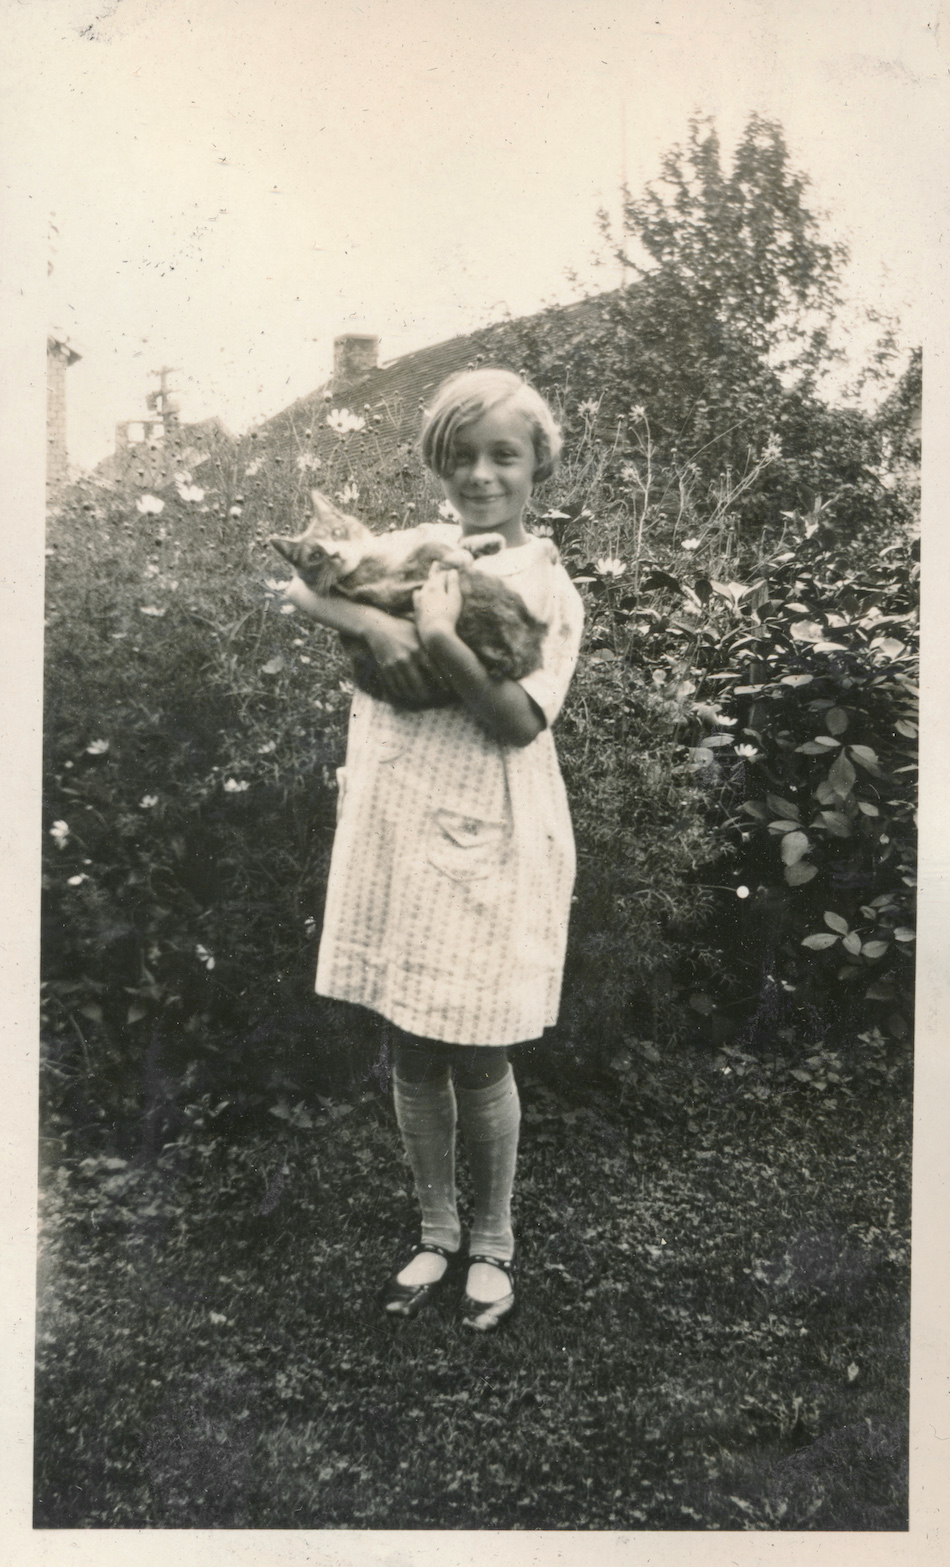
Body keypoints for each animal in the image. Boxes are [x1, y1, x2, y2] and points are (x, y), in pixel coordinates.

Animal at [268, 492, 551, 708]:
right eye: (315, 555)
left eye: (336, 532)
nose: (335, 554)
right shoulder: (385, 587)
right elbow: (427, 547)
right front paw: (456, 556)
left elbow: (442, 545)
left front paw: (484, 542)